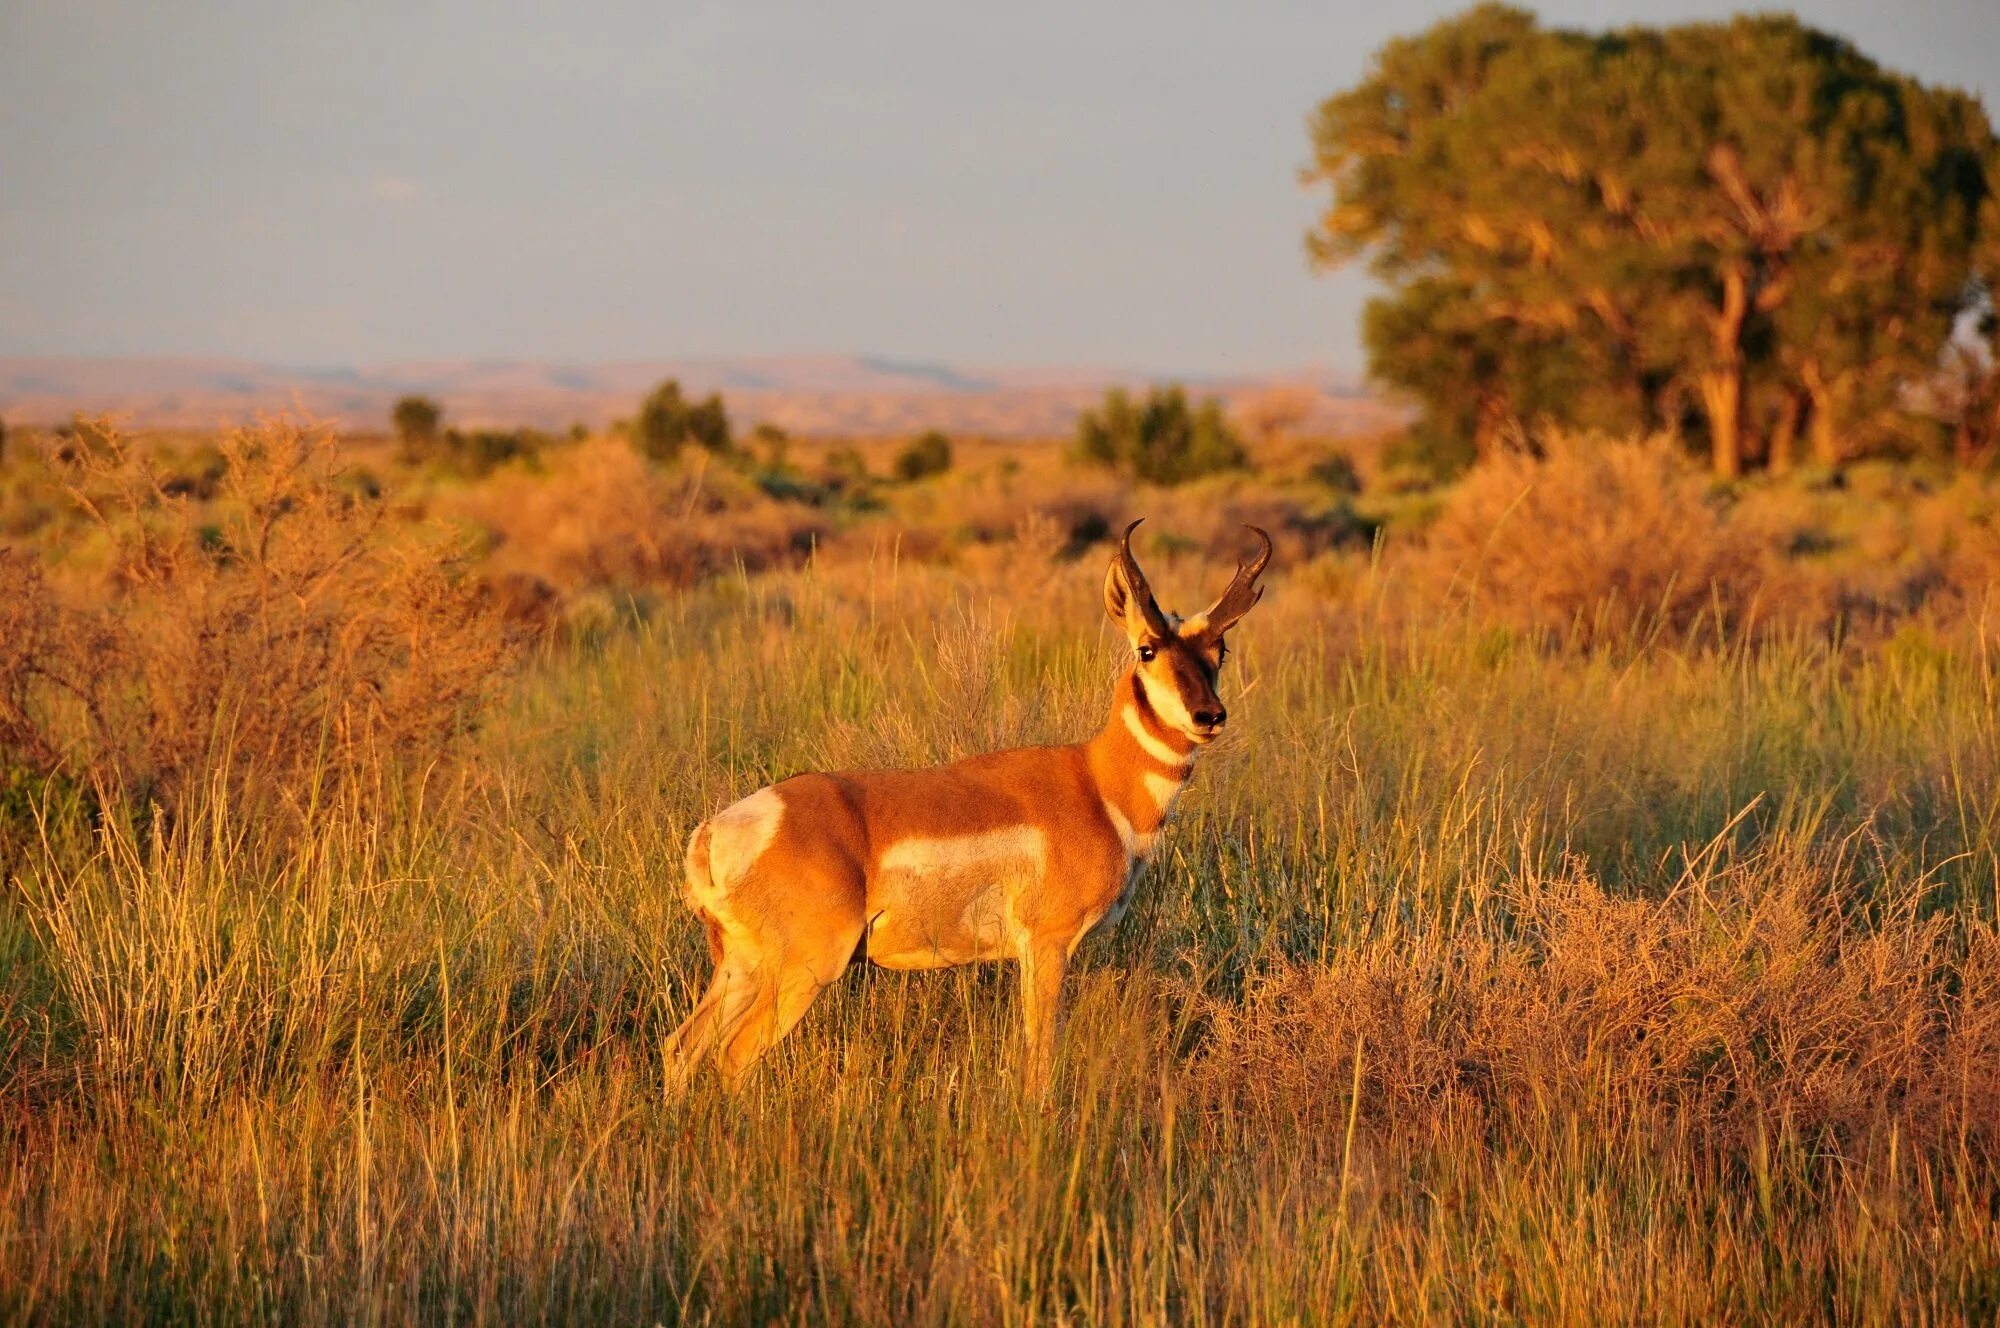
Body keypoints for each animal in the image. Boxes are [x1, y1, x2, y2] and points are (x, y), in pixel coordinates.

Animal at [664, 520, 1272, 1088]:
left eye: (1220, 651)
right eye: (1147, 649)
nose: (1209, 716)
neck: (1098, 783)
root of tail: (716, 832)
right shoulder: (1046, 945)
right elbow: (1039, 1058)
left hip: (743, 969)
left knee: (682, 1046)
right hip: (806, 968)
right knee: (733, 1056)